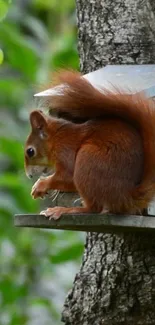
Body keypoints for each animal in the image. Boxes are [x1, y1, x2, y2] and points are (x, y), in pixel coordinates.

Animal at [24, 70, 155, 218]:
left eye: (30, 151)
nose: (29, 175)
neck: (57, 138)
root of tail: (126, 197)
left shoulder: (65, 150)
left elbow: (67, 177)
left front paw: (41, 184)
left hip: (87, 160)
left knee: (93, 208)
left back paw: (65, 209)